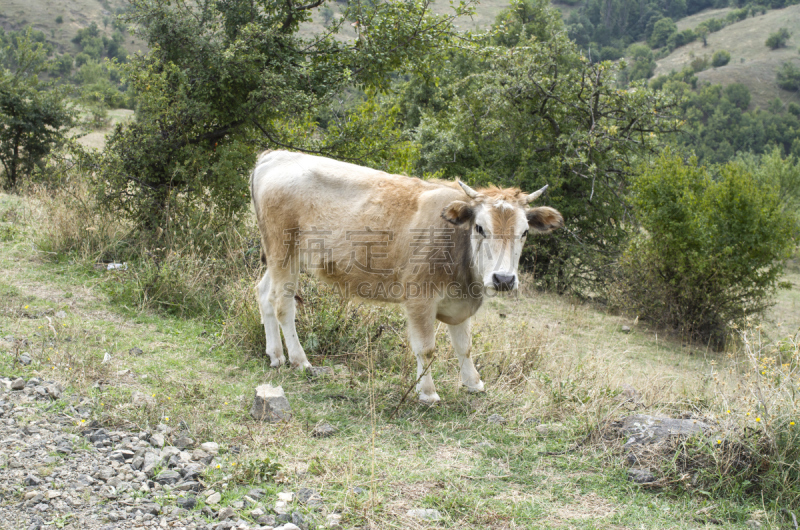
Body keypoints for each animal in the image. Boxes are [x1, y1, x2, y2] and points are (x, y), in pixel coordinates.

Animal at [250, 148, 564, 400]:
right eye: (479, 228)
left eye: (524, 232)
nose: (504, 279)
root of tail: (275, 156)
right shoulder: (419, 298)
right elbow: (426, 348)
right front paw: (428, 393)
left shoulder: (459, 302)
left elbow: (465, 346)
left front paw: (473, 384)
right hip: (284, 251)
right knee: (283, 304)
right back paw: (300, 360)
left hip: (281, 257)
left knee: (264, 294)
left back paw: (275, 356)